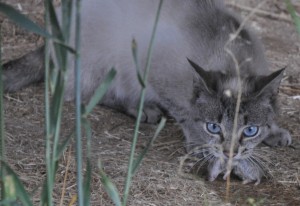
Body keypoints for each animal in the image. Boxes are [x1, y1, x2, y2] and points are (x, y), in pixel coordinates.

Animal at [1, 0, 292, 183]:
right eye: (213, 127)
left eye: (250, 130)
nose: (230, 154)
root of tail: (50, 37)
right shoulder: (152, 67)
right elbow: (185, 115)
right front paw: (200, 146)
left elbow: (270, 122)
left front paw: (275, 133)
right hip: (104, 65)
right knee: (90, 95)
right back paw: (144, 109)